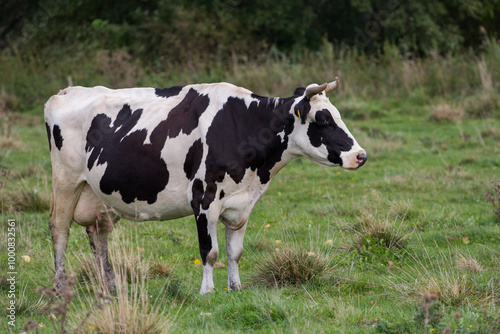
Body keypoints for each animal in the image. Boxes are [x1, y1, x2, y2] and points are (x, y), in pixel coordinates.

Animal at [45, 77, 366, 294]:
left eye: (337, 116)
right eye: (322, 120)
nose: (360, 155)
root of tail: (68, 91)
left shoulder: (241, 204)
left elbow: (235, 252)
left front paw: (235, 289)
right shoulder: (203, 198)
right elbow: (208, 251)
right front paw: (207, 291)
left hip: (99, 193)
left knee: (98, 235)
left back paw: (111, 287)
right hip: (66, 182)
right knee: (59, 230)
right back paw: (60, 286)